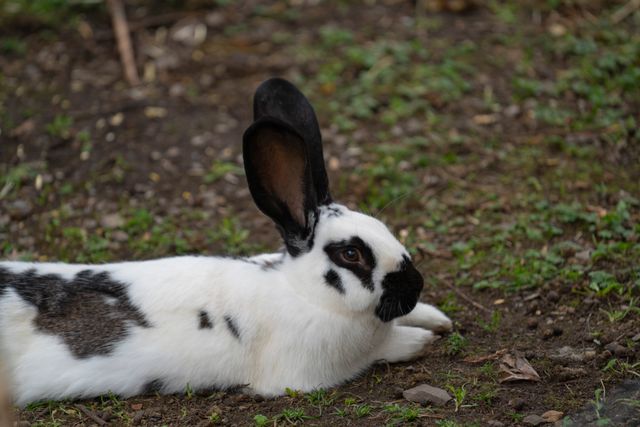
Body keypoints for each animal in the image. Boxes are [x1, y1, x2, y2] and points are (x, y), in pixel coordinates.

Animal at [0, 78, 452, 406]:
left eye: (382, 226)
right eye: (351, 253)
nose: (416, 285)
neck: (304, 294)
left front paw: (437, 318)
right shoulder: (311, 369)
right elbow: (387, 347)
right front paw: (422, 340)